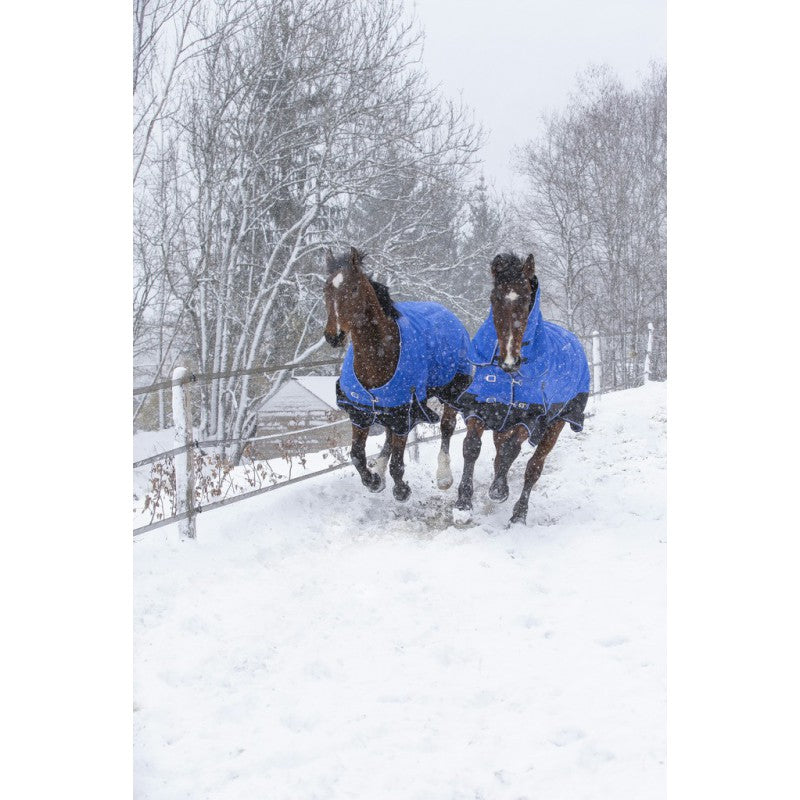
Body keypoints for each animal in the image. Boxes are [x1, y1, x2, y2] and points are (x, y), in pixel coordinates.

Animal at [323, 247, 472, 501]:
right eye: (325, 290)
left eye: (353, 289)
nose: (334, 336)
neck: (378, 355)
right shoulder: (362, 412)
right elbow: (357, 455)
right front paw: (374, 481)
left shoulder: (404, 410)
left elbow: (398, 462)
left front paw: (401, 489)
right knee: (389, 436)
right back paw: (380, 468)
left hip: (451, 389)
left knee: (446, 427)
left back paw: (443, 475)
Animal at [453, 252, 590, 525]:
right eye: (494, 298)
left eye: (527, 298)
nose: (509, 361)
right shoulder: (481, 407)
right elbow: (472, 447)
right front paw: (463, 504)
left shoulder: (529, 417)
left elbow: (511, 451)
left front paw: (498, 491)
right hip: (503, 424)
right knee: (499, 451)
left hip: (556, 424)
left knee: (533, 467)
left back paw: (518, 513)